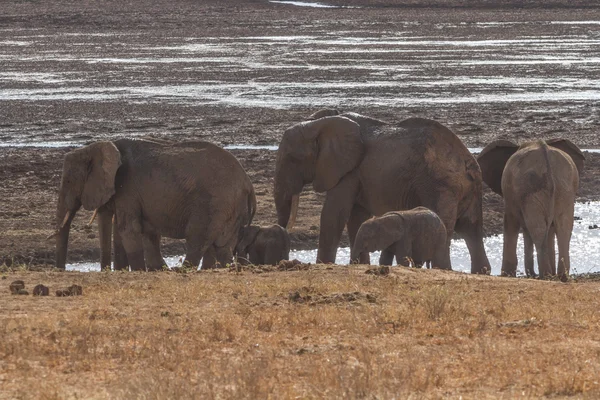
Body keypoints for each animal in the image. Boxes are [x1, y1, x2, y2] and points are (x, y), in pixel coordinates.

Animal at [52, 138, 255, 272]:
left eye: (68, 181)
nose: (60, 270)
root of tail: (247, 183)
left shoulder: (128, 188)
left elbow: (128, 228)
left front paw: (139, 271)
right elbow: (143, 231)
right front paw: (152, 269)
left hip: (216, 203)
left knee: (197, 238)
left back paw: (183, 271)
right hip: (231, 207)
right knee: (222, 245)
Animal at [274, 109, 490, 274]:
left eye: (292, 159)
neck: (319, 124)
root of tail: (468, 163)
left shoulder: (348, 170)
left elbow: (334, 214)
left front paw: (325, 264)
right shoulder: (358, 174)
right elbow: (356, 217)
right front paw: (360, 265)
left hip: (441, 188)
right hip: (467, 190)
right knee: (471, 229)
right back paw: (482, 272)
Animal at [476, 139, 584, 280]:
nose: (531, 273)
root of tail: (545, 154)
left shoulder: (511, 196)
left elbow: (511, 222)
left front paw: (507, 275)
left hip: (532, 189)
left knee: (538, 228)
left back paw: (546, 275)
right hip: (564, 189)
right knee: (563, 228)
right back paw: (560, 277)